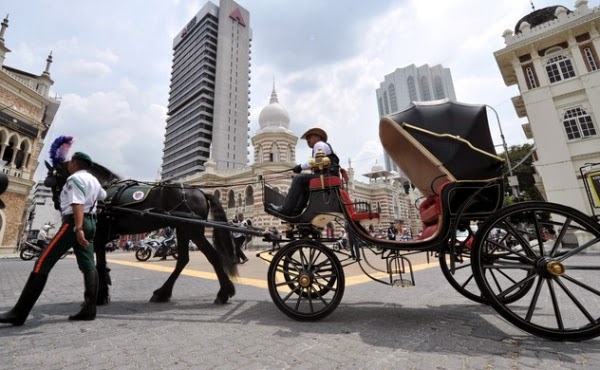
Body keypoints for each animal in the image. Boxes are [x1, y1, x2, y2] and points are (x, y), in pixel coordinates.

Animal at [43, 160, 239, 304]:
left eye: (52, 181)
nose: (57, 204)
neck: (103, 187)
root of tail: (201, 192)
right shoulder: (104, 236)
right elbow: (103, 265)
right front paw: (103, 294)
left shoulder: (99, 234)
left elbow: (100, 265)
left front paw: (101, 297)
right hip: (183, 228)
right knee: (183, 258)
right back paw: (163, 293)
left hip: (193, 229)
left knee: (212, 255)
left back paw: (224, 292)